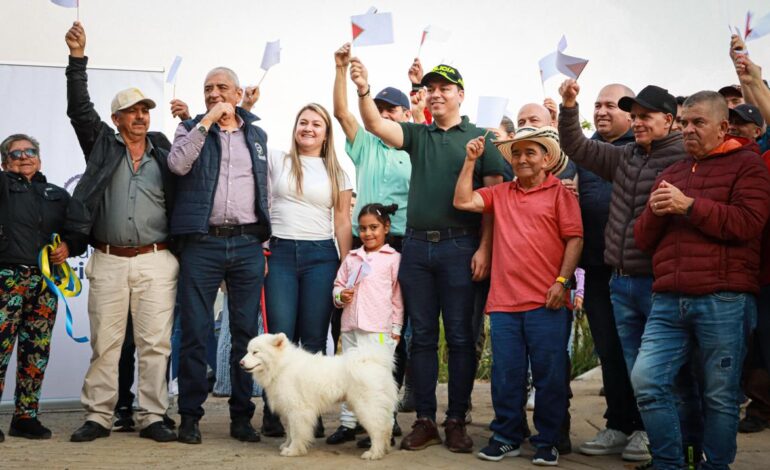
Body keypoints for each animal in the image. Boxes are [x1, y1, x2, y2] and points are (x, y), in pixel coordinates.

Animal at [240, 334, 396, 458]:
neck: (282, 366)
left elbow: (296, 432)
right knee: (387, 426)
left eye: (255, 352)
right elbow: (290, 431)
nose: (241, 363)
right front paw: (287, 445)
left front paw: (293, 450)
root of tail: (371, 361)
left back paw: (374, 453)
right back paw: (385, 449)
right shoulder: (290, 410)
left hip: (366, 407)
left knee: (378, 430)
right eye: (247, 351)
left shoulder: (298, 410)